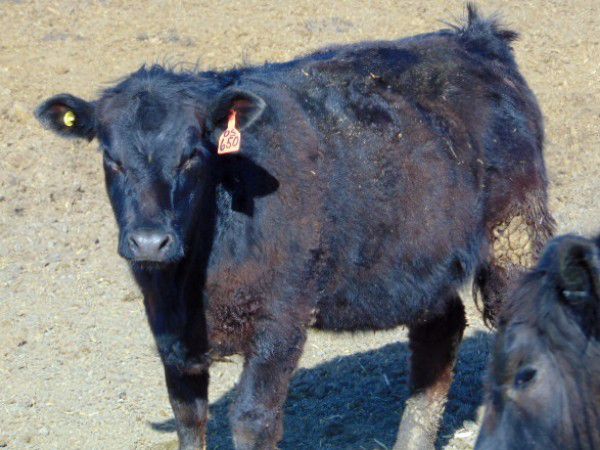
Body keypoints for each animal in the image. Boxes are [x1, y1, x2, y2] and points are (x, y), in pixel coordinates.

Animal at [35, 5, 554, 450]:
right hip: (421, 258)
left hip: (514, 233)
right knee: (438, 337)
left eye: (192, 154)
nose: (149, 242)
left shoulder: (282, 316)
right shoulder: (170, 331)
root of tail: (474, 39)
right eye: (110, 158)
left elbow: (253, 418)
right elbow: (188, 417)